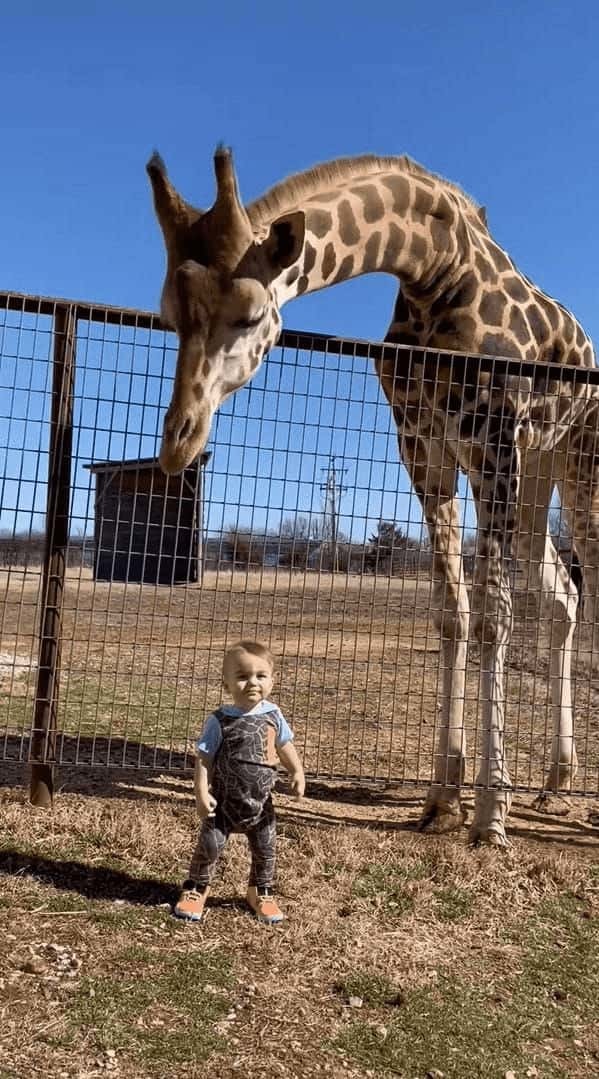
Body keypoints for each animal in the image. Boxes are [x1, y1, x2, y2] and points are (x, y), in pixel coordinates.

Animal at [146, 147, 599, 845]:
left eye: (250, 315)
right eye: (169, 315)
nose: (178, 444)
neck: (433, 268)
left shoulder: (492, 443)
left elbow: (493, 617)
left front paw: (490, 815)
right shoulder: (423, 449)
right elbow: (452, 613)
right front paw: (443, 798)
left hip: (577, 459)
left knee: (590, 582)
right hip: (538, 473)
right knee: (564, 597)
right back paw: (556, 782)